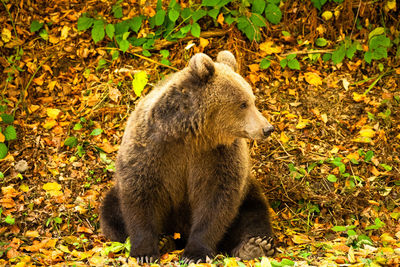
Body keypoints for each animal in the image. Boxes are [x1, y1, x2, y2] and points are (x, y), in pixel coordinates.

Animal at [100, 50, 276, 264]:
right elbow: (140, 193)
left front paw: (195, 254)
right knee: (110, 211)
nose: (267, 128)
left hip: (247, 190)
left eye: (253, 100)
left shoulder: (219, 156)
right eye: (243, 103)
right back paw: (164, 240)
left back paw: (254, 245)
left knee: (254, 212)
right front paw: (145, 253)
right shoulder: (150, 146)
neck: (191, 135)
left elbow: (216, 200)